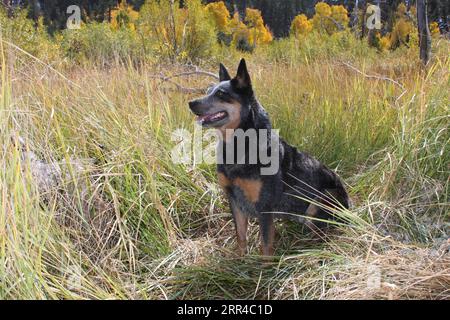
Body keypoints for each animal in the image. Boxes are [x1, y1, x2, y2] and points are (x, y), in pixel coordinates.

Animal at [188, 58, 350, 256]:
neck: (238, 146)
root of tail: (351, 207)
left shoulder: (264, 208)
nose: (191, 103)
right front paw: (239, 260)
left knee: (323, 234)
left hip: (318, 203)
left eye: (221, 93)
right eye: (207, 90)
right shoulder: (234, 200)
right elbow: (240, 236)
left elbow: (265, 246)